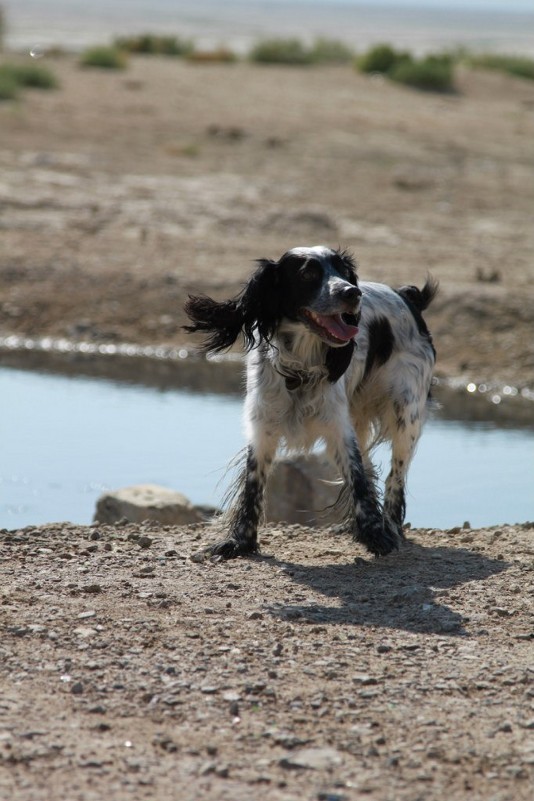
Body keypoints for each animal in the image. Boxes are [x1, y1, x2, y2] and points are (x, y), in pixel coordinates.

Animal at [186, 247, 438, 560]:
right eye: (308, 274)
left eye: (343, 272)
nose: (352, 292)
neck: (300, 368)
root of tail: (404, 295)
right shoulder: (262, 427)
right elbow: (253, 485)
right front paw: (240, 542)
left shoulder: (339, 429)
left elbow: (357, 478)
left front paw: (376, 535)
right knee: (372, 467)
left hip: (406, 413)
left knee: (395, 477)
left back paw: (389, 526)